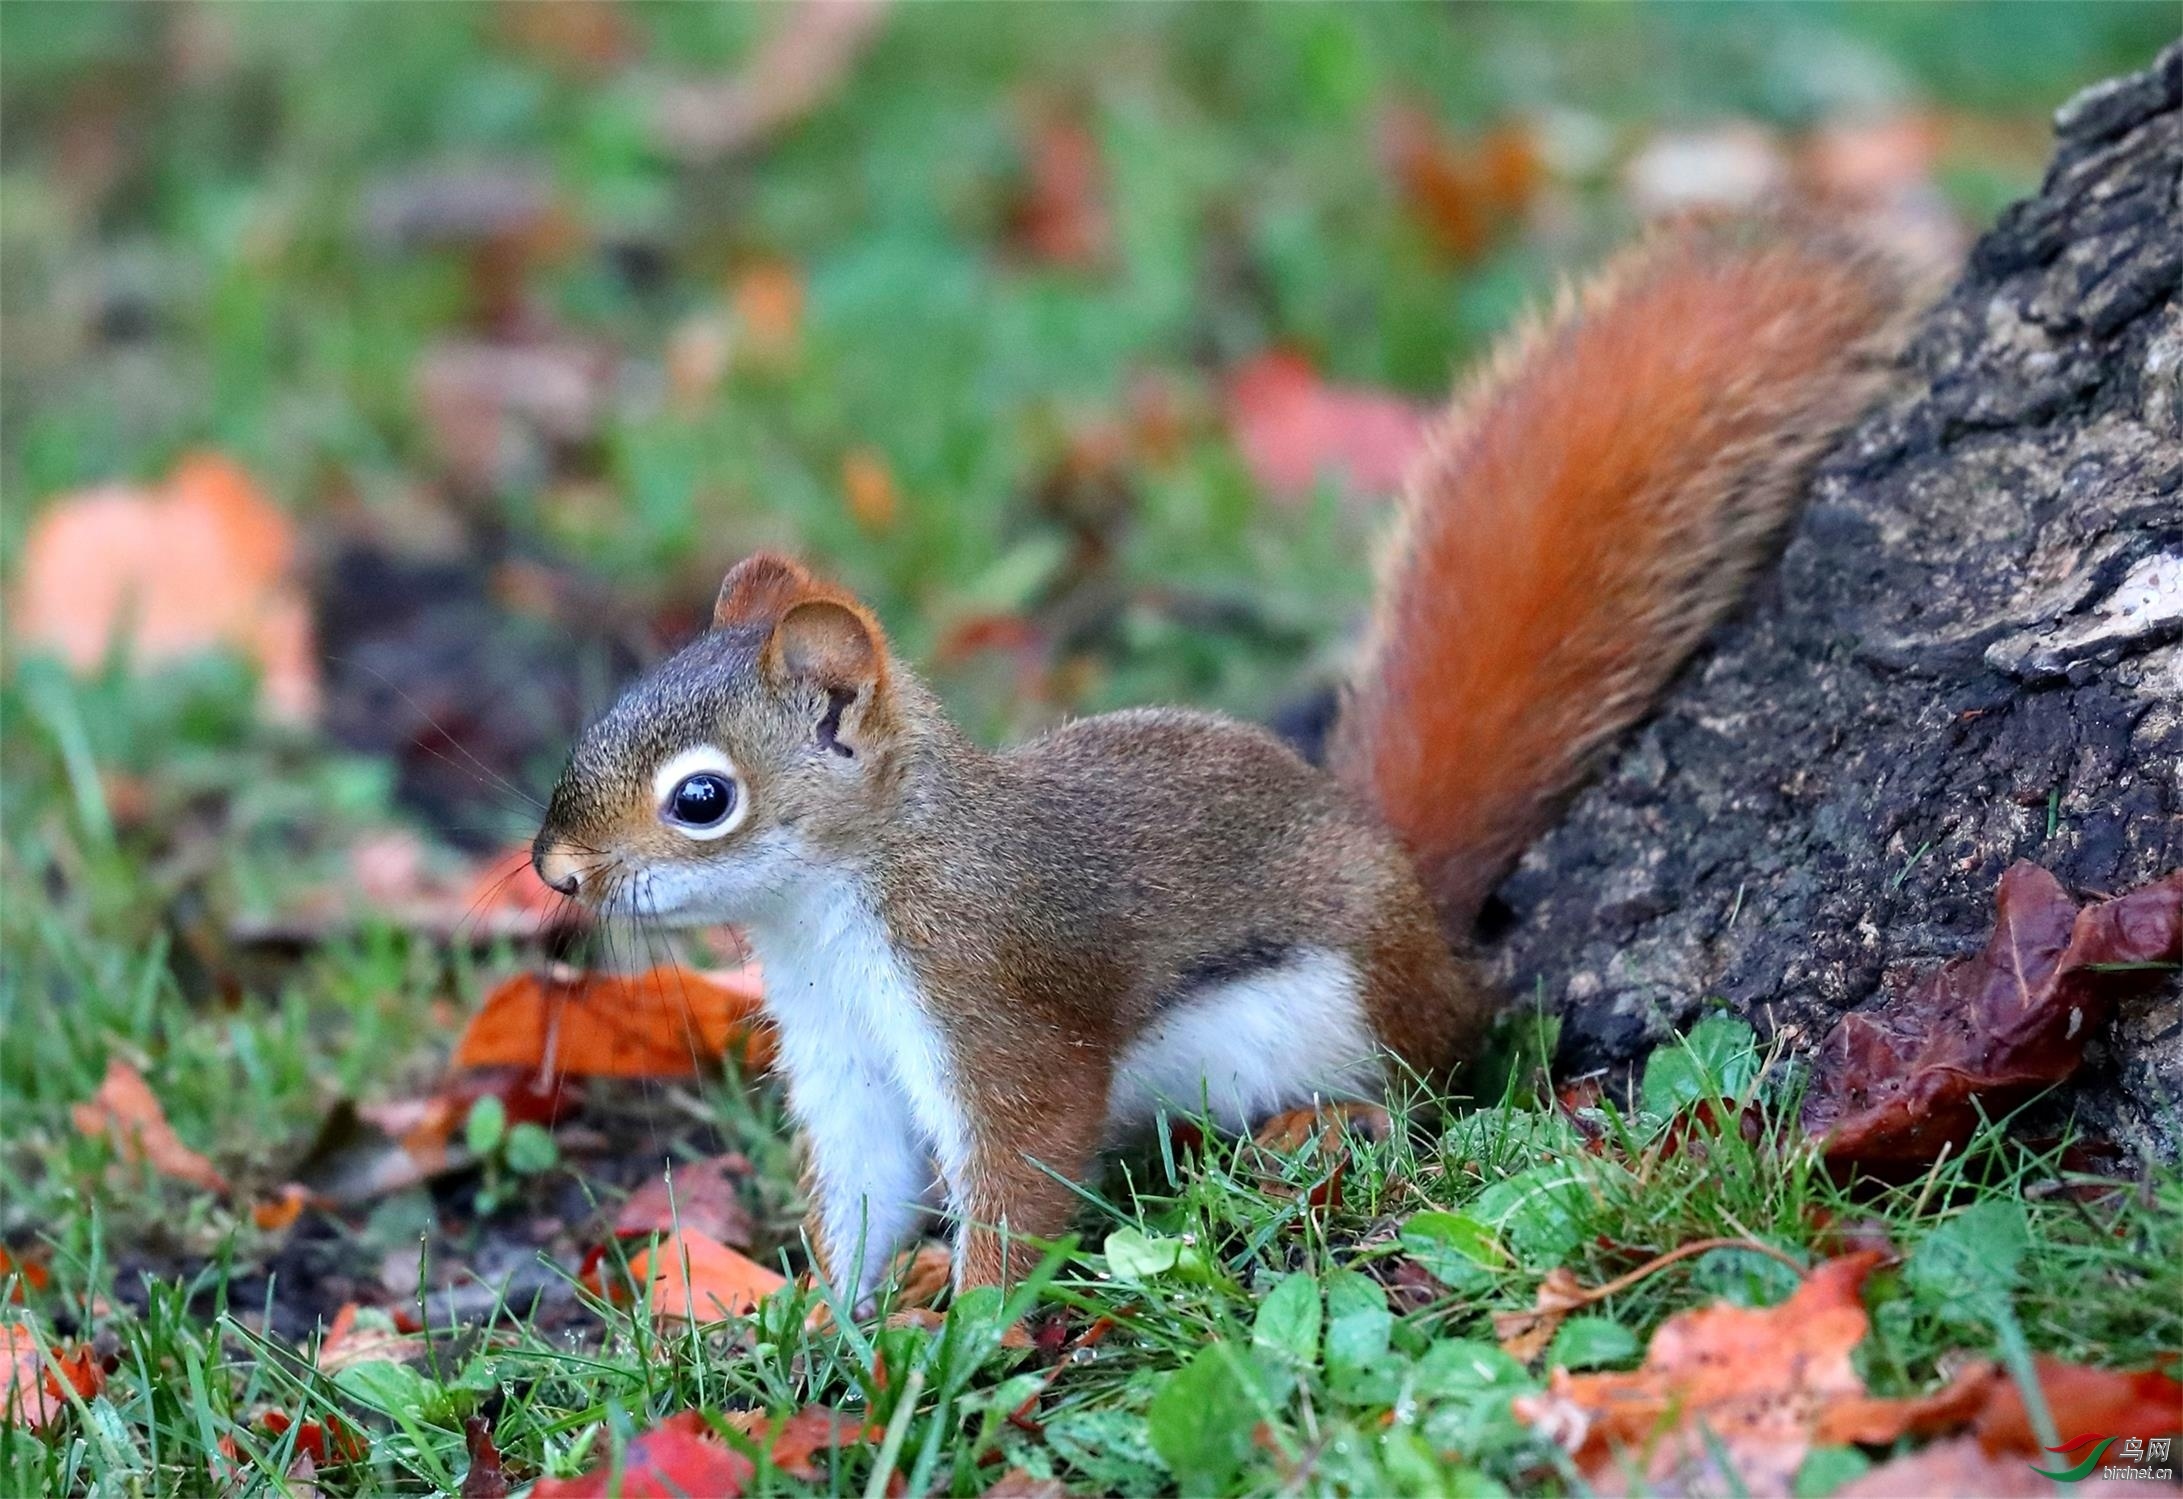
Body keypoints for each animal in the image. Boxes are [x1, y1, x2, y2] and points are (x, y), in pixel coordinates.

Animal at [523, 220, 1894, 1300]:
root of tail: (1413, 897)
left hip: (1346, 1005)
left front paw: (963, 1336)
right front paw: (824, 1325)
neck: (834, 904)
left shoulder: (994, 997)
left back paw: (1336, 1120)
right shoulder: (840, 1056)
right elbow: (861, 1193)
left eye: (703, 798)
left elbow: (1021, 1164)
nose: (553, 870)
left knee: (1430, 1073)